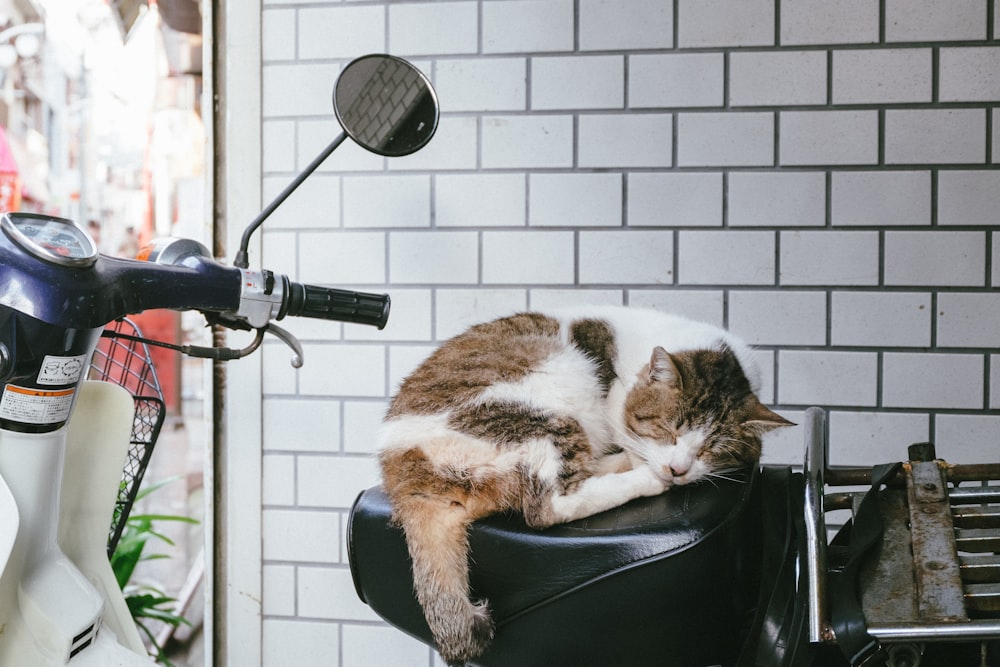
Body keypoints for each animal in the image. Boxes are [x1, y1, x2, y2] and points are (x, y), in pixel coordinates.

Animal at [378, 306, 792, 664]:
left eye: (711, 449)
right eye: (668, 430)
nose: (677, 469)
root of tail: (402, 472)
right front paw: (647, 464)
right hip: (543, 403)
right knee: (549, 506)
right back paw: (641, 476)